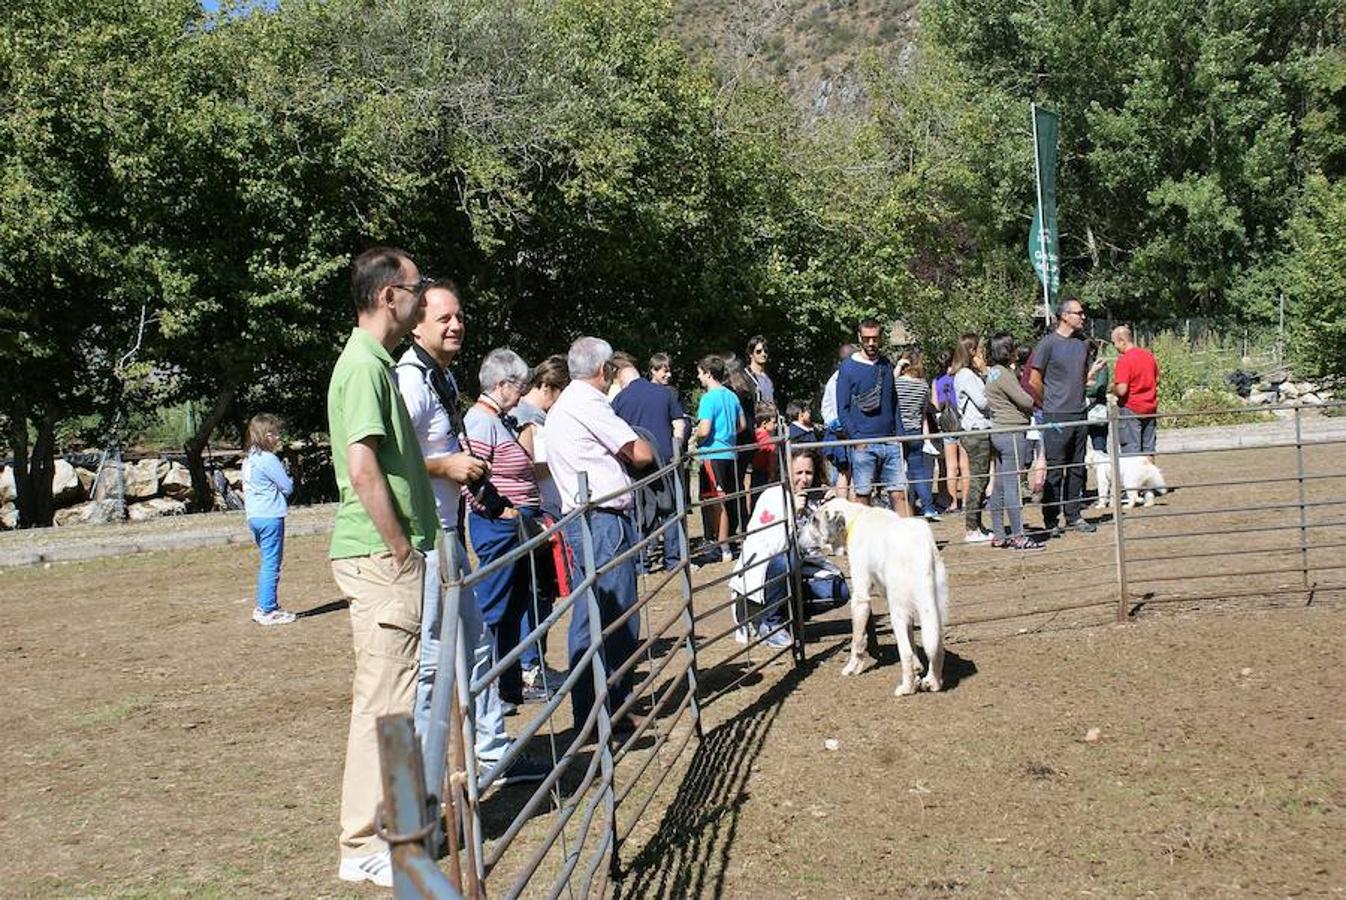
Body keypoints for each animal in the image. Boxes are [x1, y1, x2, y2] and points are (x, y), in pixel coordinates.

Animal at [796, 497, 947, 694]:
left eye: (814, 520)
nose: (797, 537)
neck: (855, 517)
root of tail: (921, 551)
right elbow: (913, 642)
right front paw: (918, 668)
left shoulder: (860, 598)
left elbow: (857, 641)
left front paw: (852, 668)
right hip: (933, 609)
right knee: (937, 647)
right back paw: (932, 682)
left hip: (897, 611)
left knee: (906, 653)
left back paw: (906, 688)